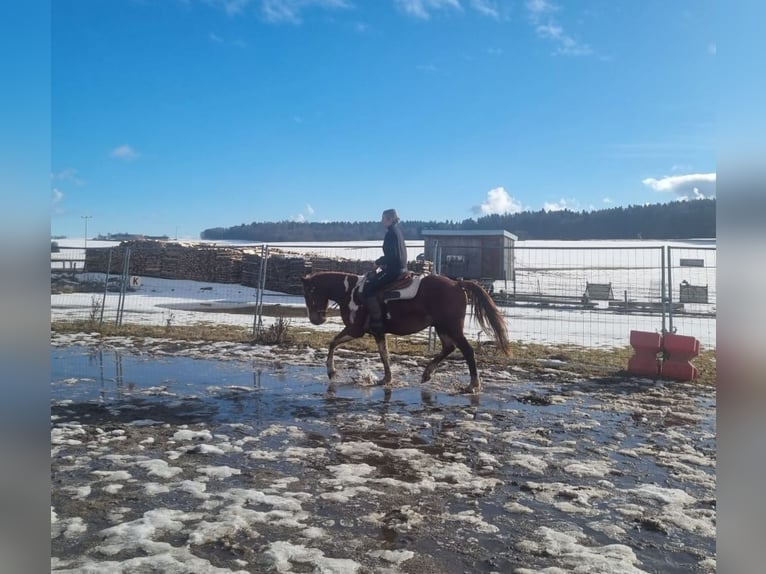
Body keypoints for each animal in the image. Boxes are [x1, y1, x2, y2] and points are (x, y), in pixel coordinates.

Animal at [300, 271, 511, 393]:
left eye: (308, 293)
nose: (316, 319)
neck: (351, 292)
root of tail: (457, 284)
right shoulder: (378, 333)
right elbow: (384, 354)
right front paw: (386, 379)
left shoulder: (355, 330)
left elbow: (333, 343)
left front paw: (331, 371)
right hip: (441, 327)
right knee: (449, 348)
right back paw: (427, 373)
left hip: (450, 327)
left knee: (467, 350)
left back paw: (472, 385)